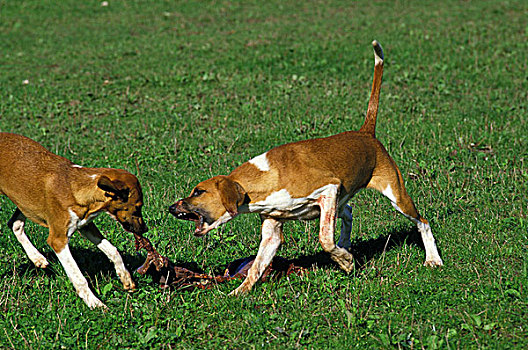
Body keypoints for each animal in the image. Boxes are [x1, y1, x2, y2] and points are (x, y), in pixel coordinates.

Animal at [0, 133, 147, 308]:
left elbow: (113, 250)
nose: (144, 229)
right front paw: (95, 303)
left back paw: (37, 258)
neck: (76, 188)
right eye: (137, 207)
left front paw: (125, 278)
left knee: (14, 224)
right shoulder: (58, 240)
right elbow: (79, 277)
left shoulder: (86, 226)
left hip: (24, 203)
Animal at [168, 42, 442, 296]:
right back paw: (346, 243)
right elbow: (257, 267)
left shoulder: (328, 190)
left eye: (198, 191)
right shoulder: (272, 229)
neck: (260, 182)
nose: (171, 207)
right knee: (348, 212)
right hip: (344, 201)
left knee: (423, 223)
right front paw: (238, 294)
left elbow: (324, 240)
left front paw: (345, 261)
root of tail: (366, 133)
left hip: (396, 196)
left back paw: (432, 259)